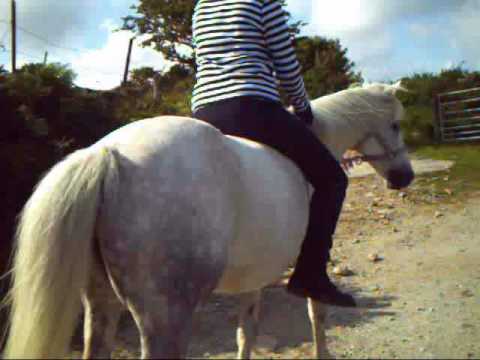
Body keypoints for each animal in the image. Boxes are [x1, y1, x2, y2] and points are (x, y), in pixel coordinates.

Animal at [1, 82, 412, 360]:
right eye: (395, 125)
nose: (404, 177)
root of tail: (107, 153)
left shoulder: (256, 274)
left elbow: (247, 331)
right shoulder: (310, 262)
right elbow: (317, 312)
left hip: (100, 304)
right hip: (166, 316)